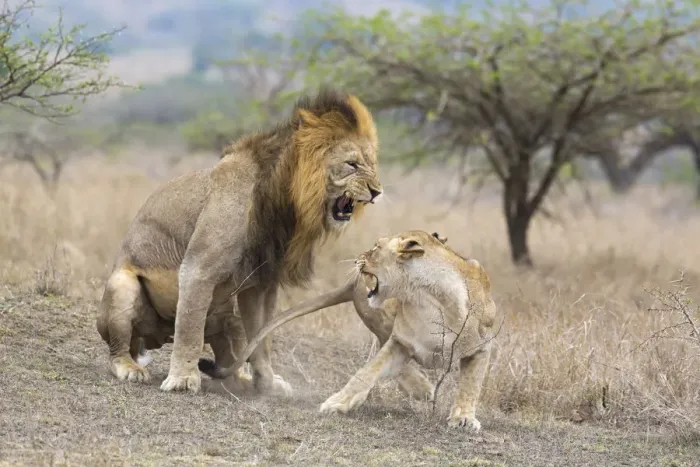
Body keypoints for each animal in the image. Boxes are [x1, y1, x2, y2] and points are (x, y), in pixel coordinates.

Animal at [95, 87, 383, 395]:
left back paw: (240, 380)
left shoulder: (262, 283)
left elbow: (261, 337)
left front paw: (267, 383)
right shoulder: (197, 269)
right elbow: (189, 329)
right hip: (122, 288)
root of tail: (154, 338)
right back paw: (131, 369)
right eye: (352, 164)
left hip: (227, 312)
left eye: (372, 165)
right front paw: (182, 379)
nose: (377, 191)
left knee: (227, 354)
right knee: (119, 349)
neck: (282, 200)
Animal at [201, 231, 496, 430]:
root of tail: (354, 285)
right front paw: (338, 402)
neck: (429, 298)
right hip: (380, 320)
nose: (357, 260)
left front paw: (463, 418)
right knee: (391, 357)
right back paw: (421, 387)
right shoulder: (400, 341)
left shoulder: (481, 347)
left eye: (376, 247)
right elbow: (366, 372)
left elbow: (471, 384)